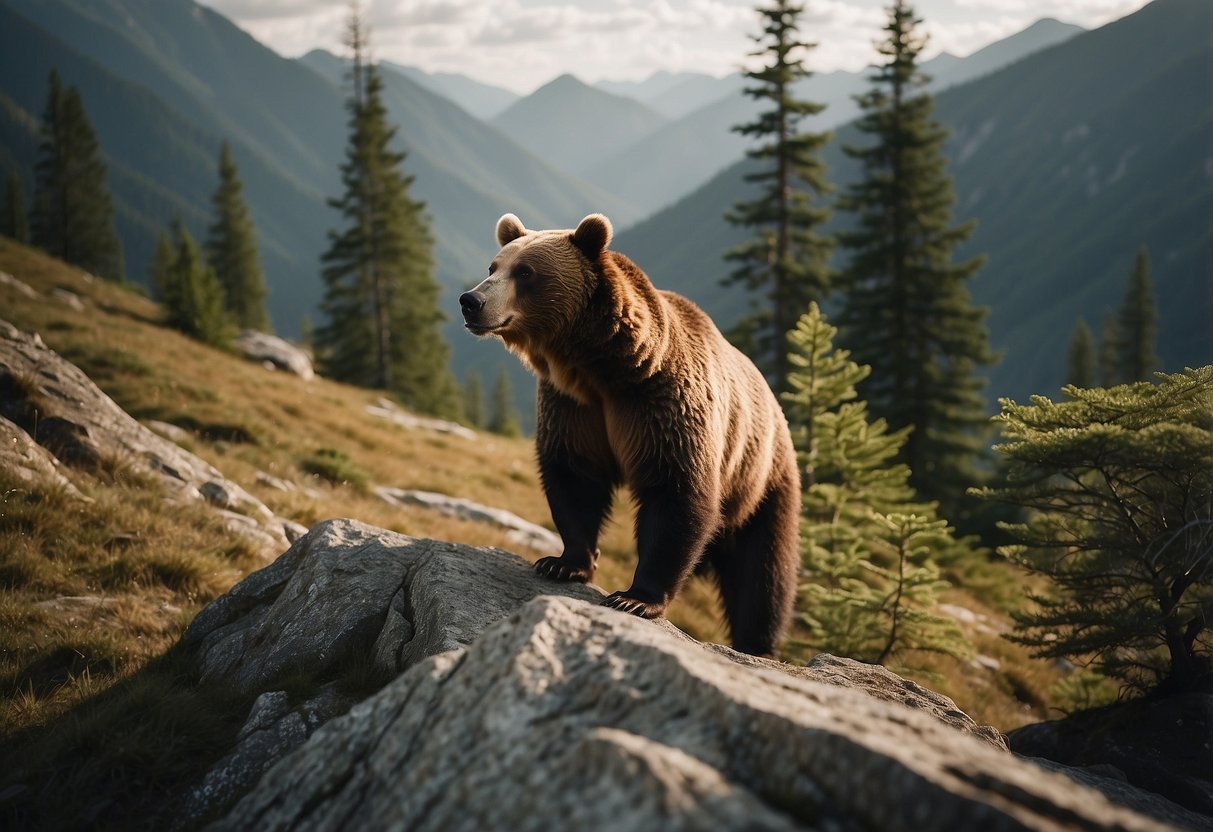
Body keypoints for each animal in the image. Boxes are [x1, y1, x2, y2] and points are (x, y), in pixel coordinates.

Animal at [458, 214, 800, 659]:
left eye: (526, 272)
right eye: (494, 266)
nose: (471, 301)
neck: (600, 367)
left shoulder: (662, 402)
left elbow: (676, 491)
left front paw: (634, 598)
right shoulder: (575, 408)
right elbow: (575, 477)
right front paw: (562, 562)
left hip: (761, 479)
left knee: (763, 570)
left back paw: (757, 644)